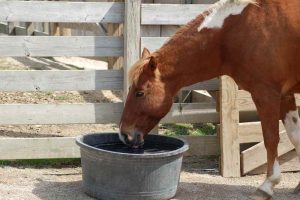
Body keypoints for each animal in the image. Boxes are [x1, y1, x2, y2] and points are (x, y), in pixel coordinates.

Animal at [119, 0, 300, 198]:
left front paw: (267, 185)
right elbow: (295, 136)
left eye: (139, 93)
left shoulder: (266, 94)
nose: (124, 134)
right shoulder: (285, 95)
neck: (238, 29)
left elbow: (271, 138)